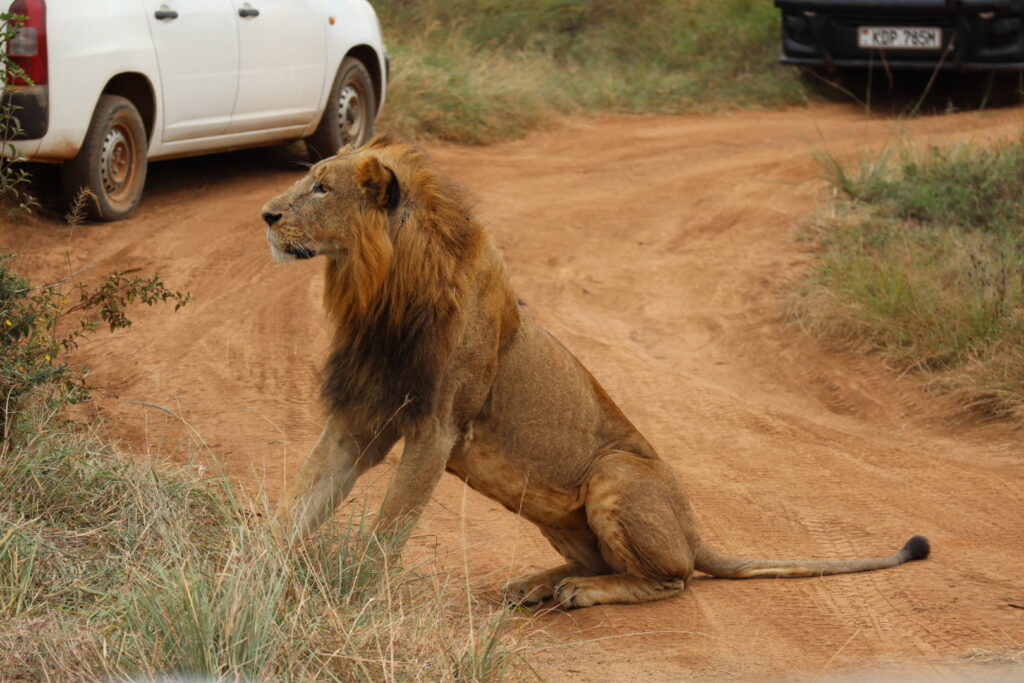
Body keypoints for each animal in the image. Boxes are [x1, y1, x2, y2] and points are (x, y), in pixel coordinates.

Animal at [260, 135, 933, 610]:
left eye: (321, 188)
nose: (265, 215)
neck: (379, 294)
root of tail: (694, 533)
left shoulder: (437, 427)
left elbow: (389, 526)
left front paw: (353, 592)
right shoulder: (361, 418)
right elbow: (300, 498)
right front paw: (254, 567)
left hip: (616, 471)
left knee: (671, 579)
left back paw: (577, 592)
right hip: (551, 509)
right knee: (612, 564)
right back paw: (536, 583)